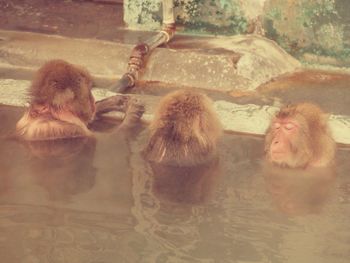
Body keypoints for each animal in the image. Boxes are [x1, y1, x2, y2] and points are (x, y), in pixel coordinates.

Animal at [15, 59, 144, 141]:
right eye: (88, 93)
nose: (92, 101)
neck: (50, 114)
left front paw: (115, 101)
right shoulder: (71, 130)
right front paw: (133, 111)